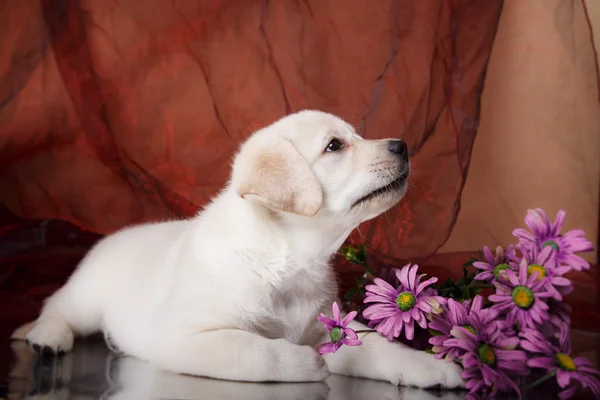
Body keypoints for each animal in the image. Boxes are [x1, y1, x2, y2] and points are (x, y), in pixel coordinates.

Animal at [12, 108, 464, 388]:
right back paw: (46, 335)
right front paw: (303, 361)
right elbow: (253, 350)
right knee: (55, 306)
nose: (402, 145)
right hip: (87, 298)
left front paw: (430, 366)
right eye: (335, 145)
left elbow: (379, 346)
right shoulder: (181, 336)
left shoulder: (334, 326)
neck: (289, 261)